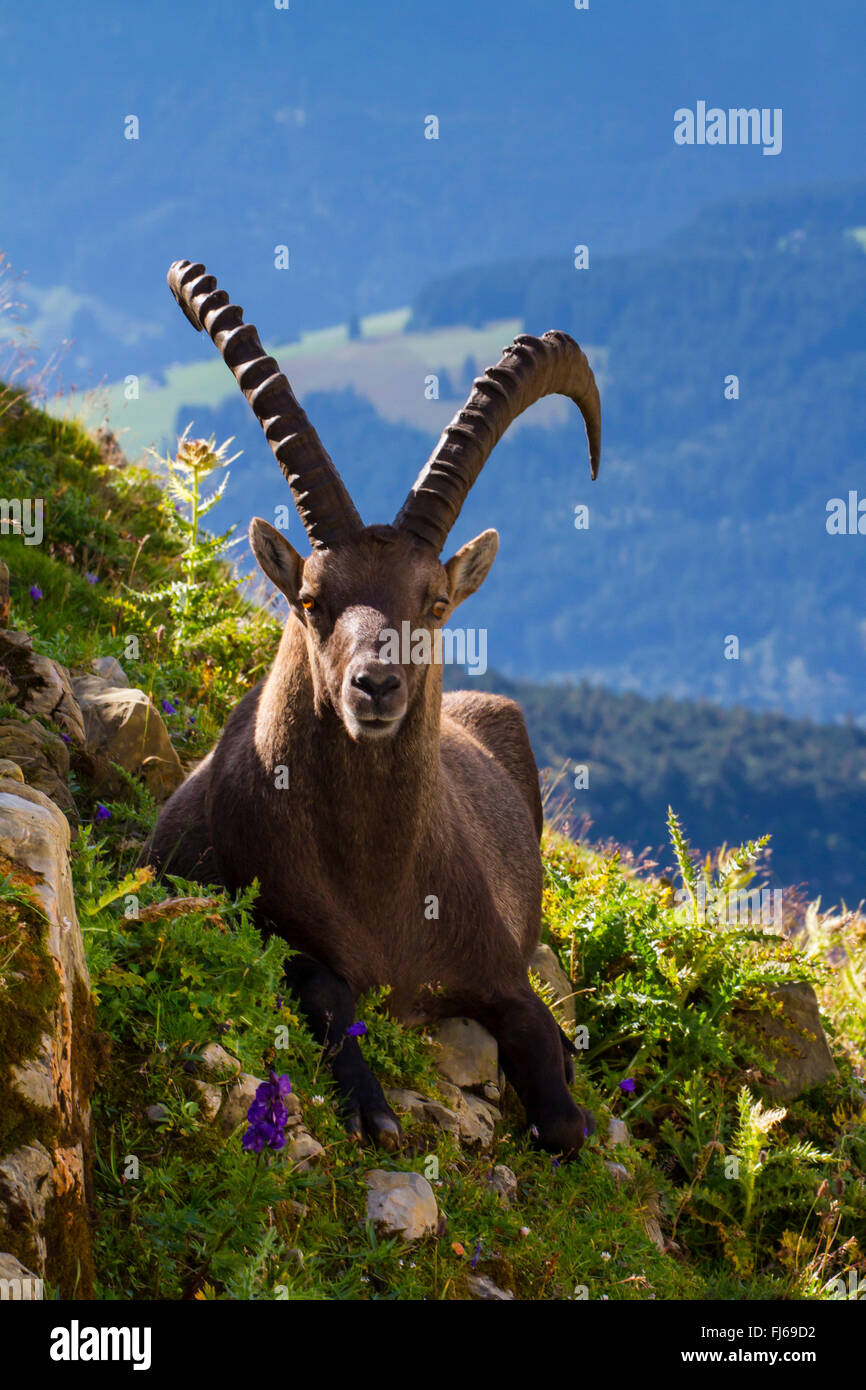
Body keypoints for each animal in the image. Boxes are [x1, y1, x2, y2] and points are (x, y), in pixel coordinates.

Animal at [144, 260, 602, 1156]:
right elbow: (321, 986)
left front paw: (561, 1077)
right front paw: (372, 1105)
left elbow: (561, 1109)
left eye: (434, 602)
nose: (377, 686)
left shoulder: (500, 971)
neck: (379, 888)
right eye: (312, 599)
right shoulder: (259, 916)